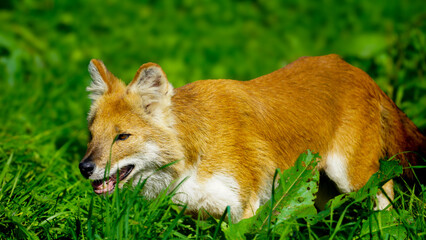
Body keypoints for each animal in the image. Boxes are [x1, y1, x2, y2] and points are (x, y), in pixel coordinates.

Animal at [80, 54, 426, 221]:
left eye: (122, 136)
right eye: (92, 135)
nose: (84, 168)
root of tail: (358, 71)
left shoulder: (244, 208)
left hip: (350, 176)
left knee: (386, 191)